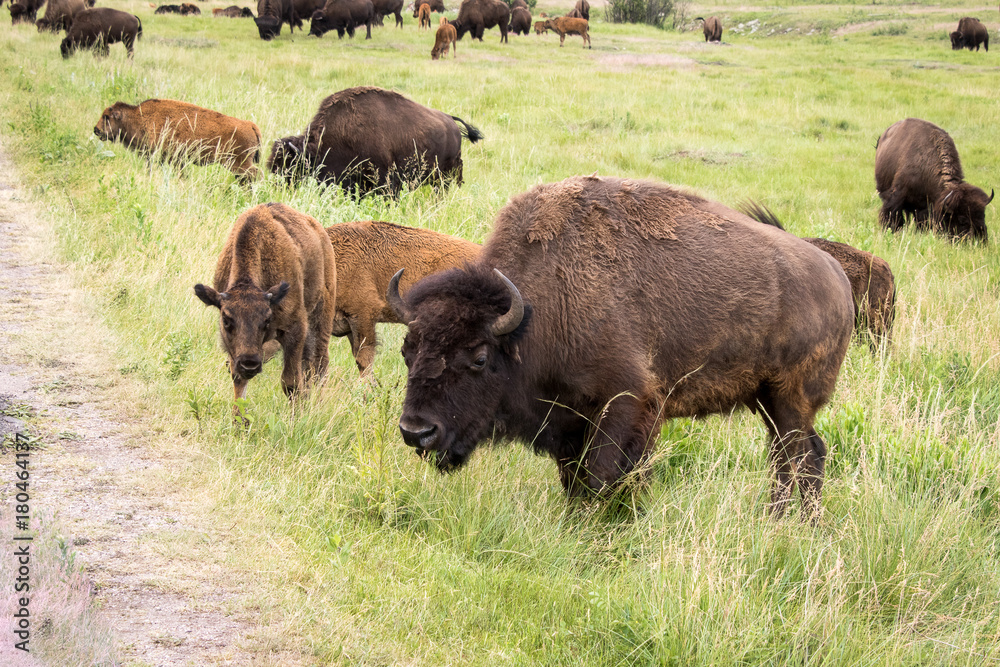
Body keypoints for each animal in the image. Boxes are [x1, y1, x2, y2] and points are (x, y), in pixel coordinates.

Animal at [94, 99, 264, 183]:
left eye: (107, 117)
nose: (96, 130)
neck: (139, 117)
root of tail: (250, 125)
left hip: (238, 164)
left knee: (257, 175)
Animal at [193, 202, 338, 408]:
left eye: (267, 319)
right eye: (226, 320)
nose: (250, 364)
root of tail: (319, 231)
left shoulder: (295, 328)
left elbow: (291, 382)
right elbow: (238, 381)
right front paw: (238, 417)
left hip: (321, 317)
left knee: (319, 365)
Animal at [390, 175, 852, 520]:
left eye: (480, 357)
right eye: (407, 351)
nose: (416, 431)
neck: (535, 315)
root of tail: (837, 277)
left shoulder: (627, 403)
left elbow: (603, 477)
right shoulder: (570, 422)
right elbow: (575, 479)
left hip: (789, 400)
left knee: (796, 458)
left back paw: (786, 522)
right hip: (767, 401)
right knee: (801, 455)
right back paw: (793, 522)